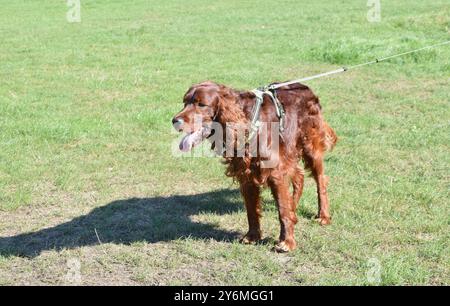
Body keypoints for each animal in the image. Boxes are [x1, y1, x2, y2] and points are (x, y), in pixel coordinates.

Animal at [172, 80, 338, 251]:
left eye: (202, 104)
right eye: (185, 102)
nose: (175, 121)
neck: (247, 121)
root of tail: (305, 87)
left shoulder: (275, 172)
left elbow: (282, 210)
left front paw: (287, 241)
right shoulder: (246, 173)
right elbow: (251, 209)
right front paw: (252, 236)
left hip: (311, 146)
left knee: (321, 180)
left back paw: (323, 216)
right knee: (299, 176)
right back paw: (294, 206)